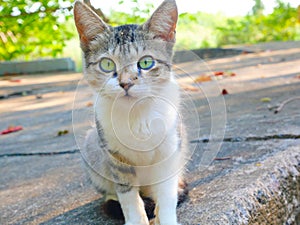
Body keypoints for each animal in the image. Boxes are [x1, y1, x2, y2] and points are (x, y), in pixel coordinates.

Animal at [74, 0, 188, 224]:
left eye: (146, 62)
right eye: (107, 64)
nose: (125, 83)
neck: (137, 114)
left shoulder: (170, 148)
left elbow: (166, 192)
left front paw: (165, 217)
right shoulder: (115, 156)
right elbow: (127, 196)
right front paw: (136, 218)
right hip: (93, 144)